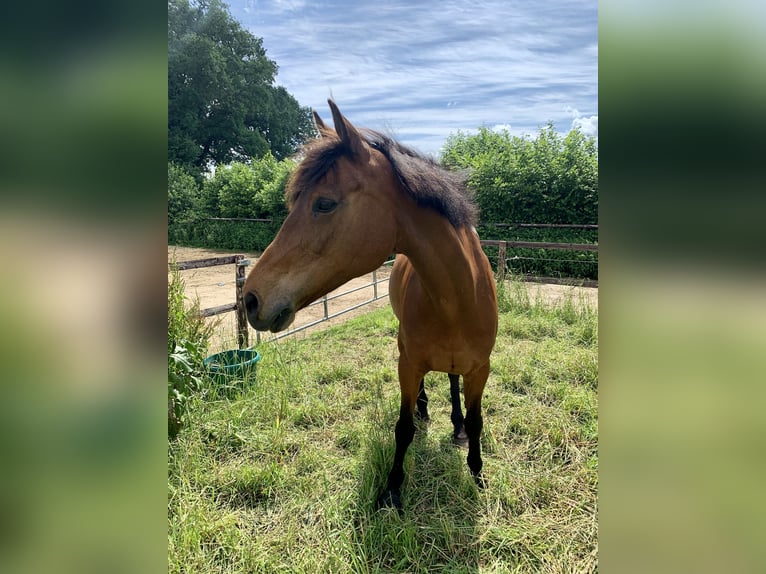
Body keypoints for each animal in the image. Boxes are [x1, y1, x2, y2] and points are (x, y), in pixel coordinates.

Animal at [243, 101, 500, 510]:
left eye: (324, 203)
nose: (251, 298)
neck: (458, 298)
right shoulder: (407, 364)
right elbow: (403, 427)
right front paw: (392, 490)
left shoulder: (481, 369)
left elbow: (476, 420)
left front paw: (477, 473)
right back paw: (425, 410)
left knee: (452, 382)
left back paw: (456, 426)